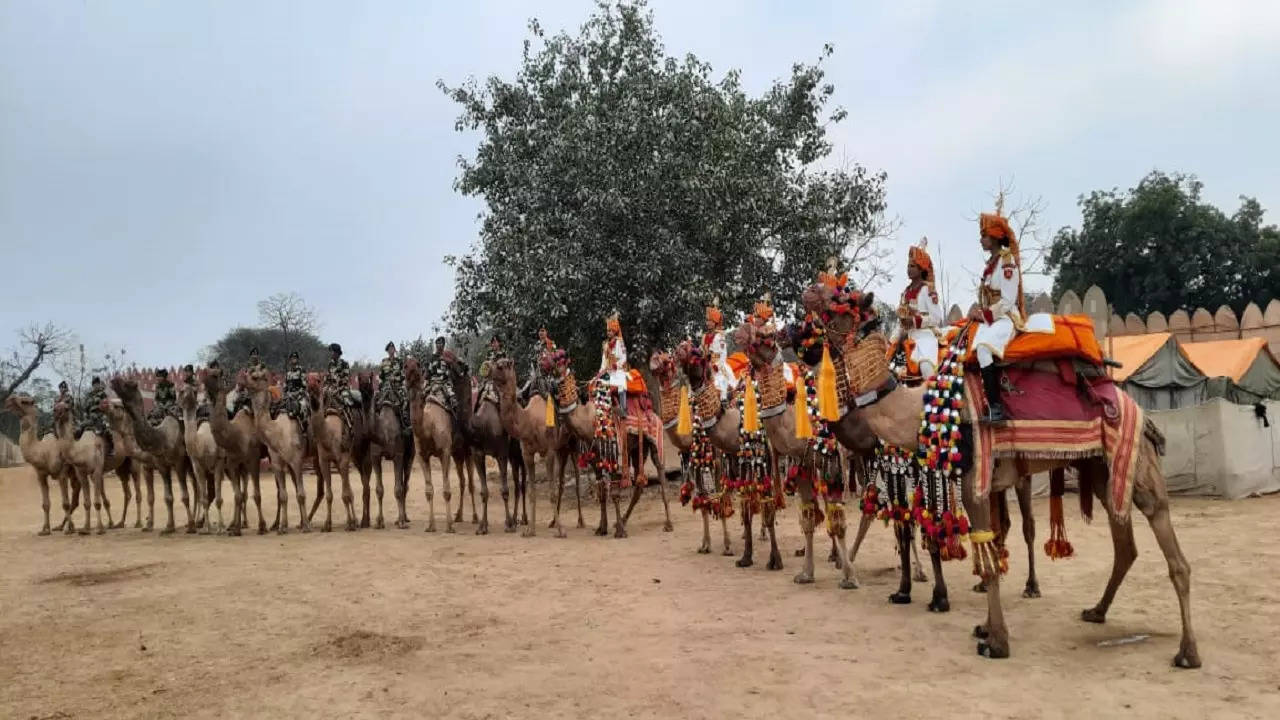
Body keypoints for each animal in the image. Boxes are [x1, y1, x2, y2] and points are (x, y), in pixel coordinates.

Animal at [4, 392, 75, 532]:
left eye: (25, 401)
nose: (8, 400)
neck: (42, 451)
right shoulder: (41, 474)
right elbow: (45, 504)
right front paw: (45, 529)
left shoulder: (62, 473)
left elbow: (65, 503)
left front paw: (70, 529)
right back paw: (60, 526)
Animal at [112, 376, 194, 532]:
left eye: (129, 384)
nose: (114, 379)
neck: (162, 436)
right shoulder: (161, 466)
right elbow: (167, 497)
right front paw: (168, 527)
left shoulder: (179, 462)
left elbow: (185, 496)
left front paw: (191, 527)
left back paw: (197, 522)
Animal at [177, 379, 227, 530]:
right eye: (181, 390)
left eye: (192, 390)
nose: (187, 393)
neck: (201, 442)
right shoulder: (198, 466)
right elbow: (204, 497)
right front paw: (207, 527)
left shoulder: (218, 462)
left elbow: (218, 498)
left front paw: (220, 527)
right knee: (198, 492)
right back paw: (195, 522)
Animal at [202, 368, 267, 532]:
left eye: (215, 374)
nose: (202, 373)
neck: (236, 436)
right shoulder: (232, 463)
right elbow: (237, 495)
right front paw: (235, 528)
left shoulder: (253, 459)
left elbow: (256, 494)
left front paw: (262, 526)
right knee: (241, 494)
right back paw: (234, 524)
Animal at [839, 299, 1198, 666]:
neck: (921, 410)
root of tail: (1142, 413)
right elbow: (986, 549)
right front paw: (983, 627)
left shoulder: (972, 481)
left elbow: (981, 558)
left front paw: (996, 642)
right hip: (1101, 469)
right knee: (1125, 545)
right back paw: (1097, 611)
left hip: (1136, 463)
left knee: (1171, 549)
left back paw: (1187, 652)